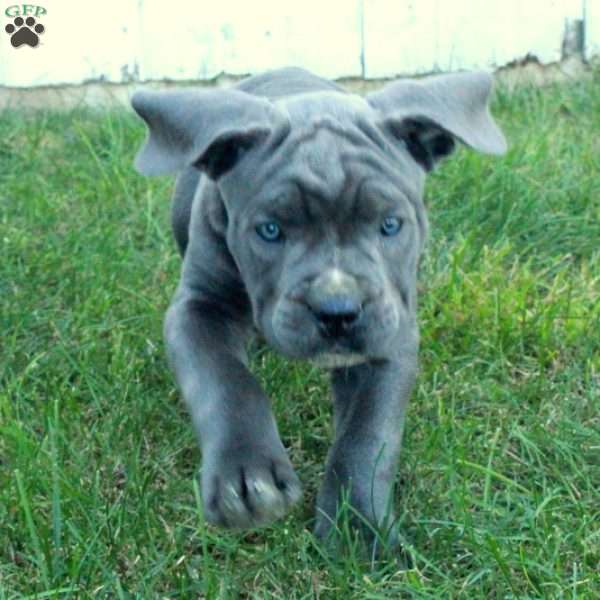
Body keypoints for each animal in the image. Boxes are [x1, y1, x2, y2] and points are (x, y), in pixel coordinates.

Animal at [132, 68, 506, 548]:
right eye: (270, 230)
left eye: (390, 225)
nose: (337, 309)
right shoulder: (198, 308)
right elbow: (224, 380)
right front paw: (246, 475)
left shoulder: (392, 327)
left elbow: (369, 431)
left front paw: (357, 529)